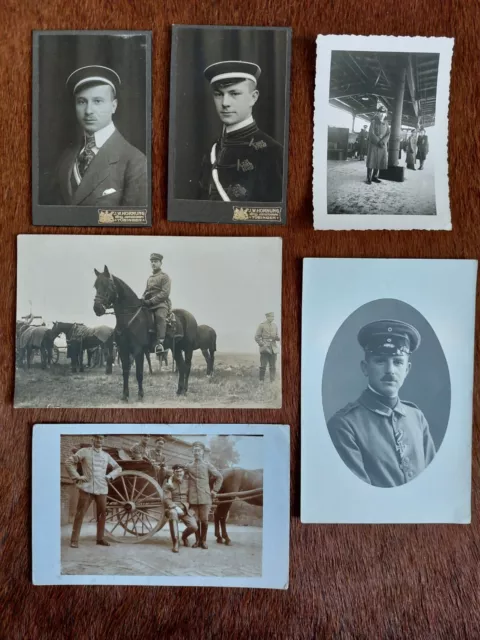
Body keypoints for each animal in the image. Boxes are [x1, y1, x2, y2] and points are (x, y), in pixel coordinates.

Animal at [93, 264, 198, 400]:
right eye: (95, 286)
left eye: (108, 285)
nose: (97, 308)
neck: (130, 316)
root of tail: (191, 317)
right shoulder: (123, 349)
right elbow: (125, 372)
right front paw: (125, 395)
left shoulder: (138, 350)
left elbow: (139, 373)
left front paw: (140, 395)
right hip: (177, 348)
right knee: (182, 367)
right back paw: (179, 390)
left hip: (188, 348)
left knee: (187, 367)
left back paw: (184, 390)